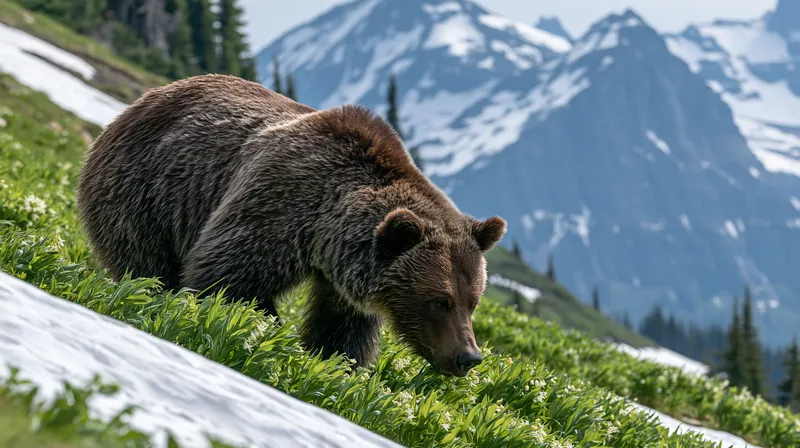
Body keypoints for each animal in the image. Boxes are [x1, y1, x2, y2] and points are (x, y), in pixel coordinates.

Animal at [76, 74, 507, 377]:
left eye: (473, 301)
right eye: (439, 300)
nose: (469, 357)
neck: (326, 228)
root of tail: (146, 98)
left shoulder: (344, 279)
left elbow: (341, 331)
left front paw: (334, 364)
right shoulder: (279, 204)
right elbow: (227, 280)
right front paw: (260, 329)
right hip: (145, 189)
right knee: (145, 262)